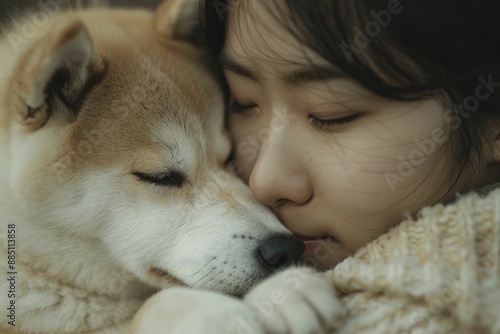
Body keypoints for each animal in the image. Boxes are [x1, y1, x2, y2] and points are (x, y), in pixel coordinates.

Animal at [0, 0, 344, 334]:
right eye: (160, 177)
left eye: (230, 158)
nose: (284, 249)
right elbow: (154, 307)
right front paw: (222, 312)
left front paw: (283, 288)